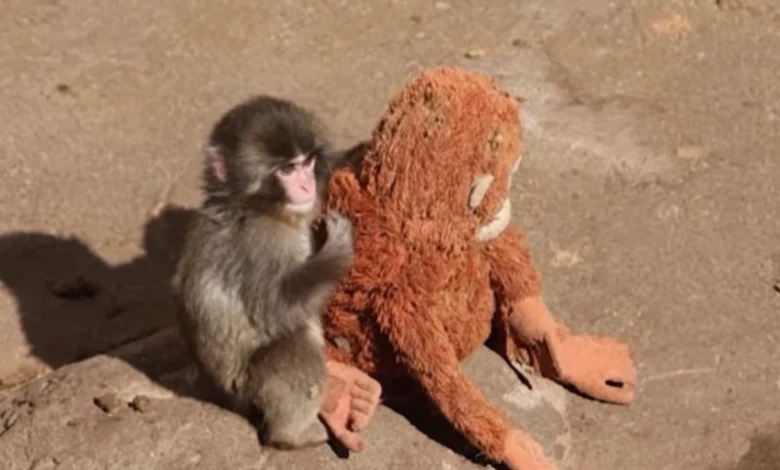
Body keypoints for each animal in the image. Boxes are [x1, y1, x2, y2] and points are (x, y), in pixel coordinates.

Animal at [171, 95, 357, 451]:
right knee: (296, 345)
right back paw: (289, 436)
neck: (253, 205)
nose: (306, 185)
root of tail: (224, 398)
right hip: (249, 389)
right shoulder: (262, 242)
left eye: (306, 163)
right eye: (287, 169)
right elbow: (277, 308)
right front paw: (338, 249)